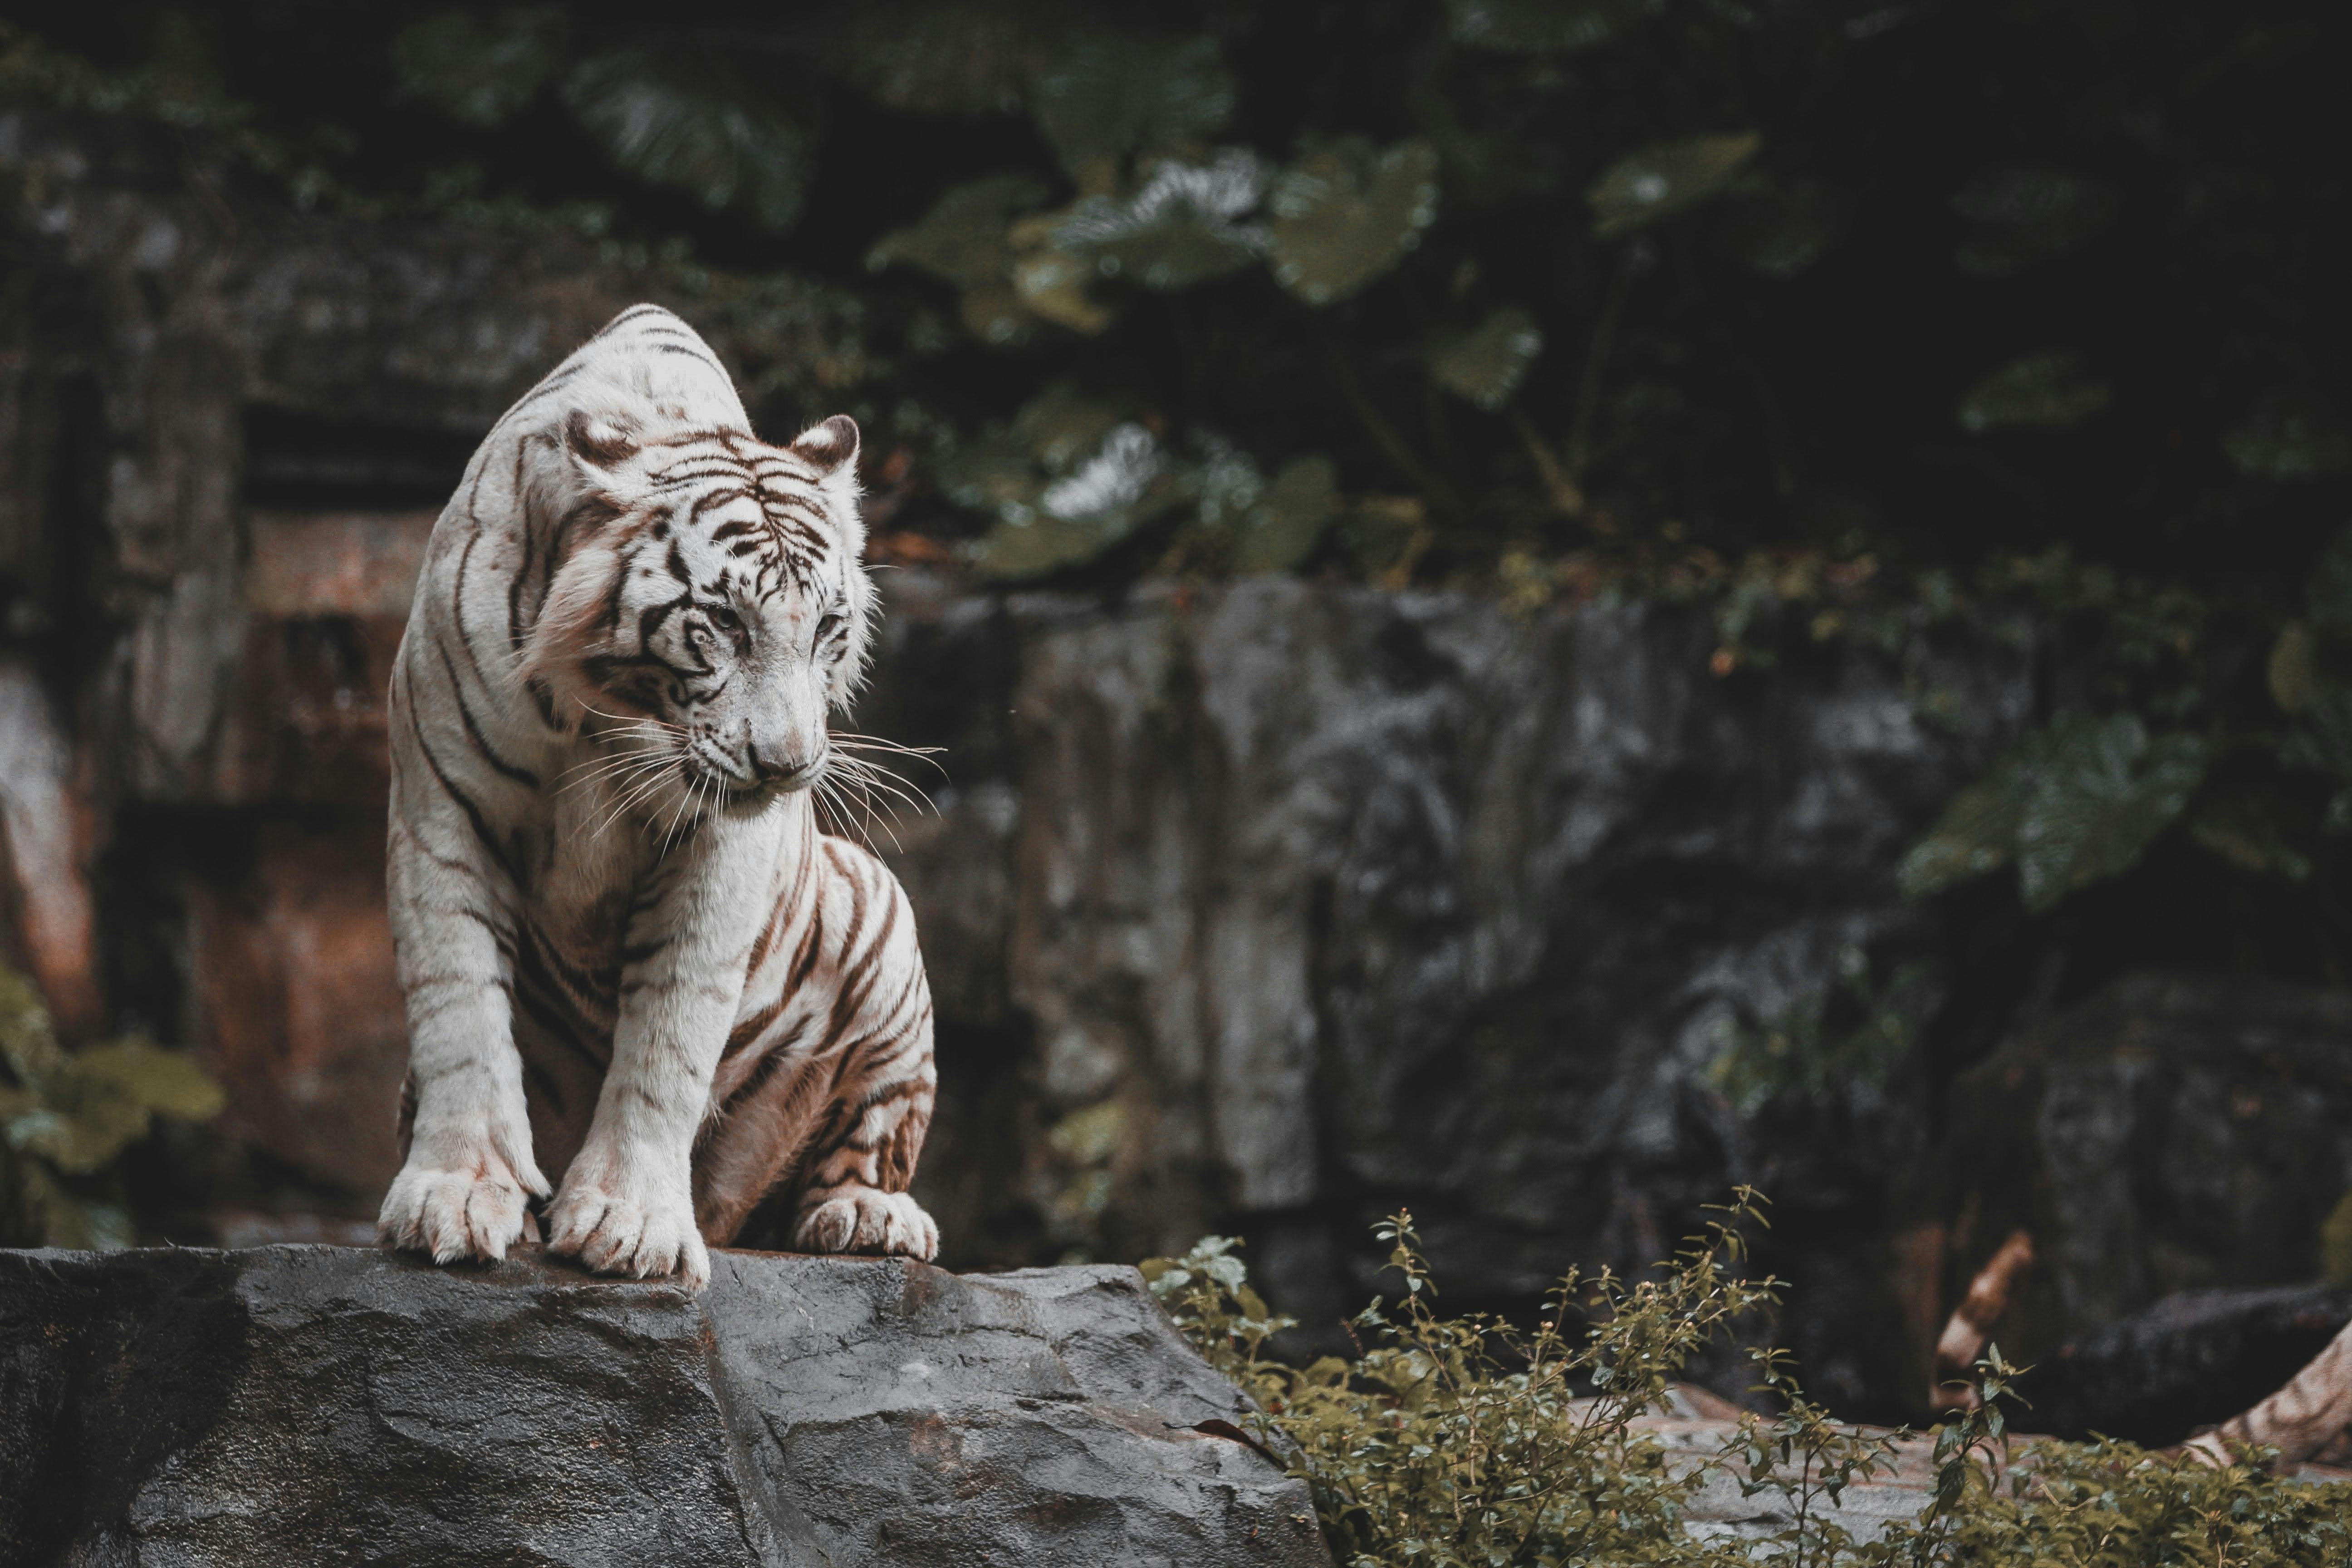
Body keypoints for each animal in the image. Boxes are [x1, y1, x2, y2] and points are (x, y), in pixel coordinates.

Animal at [375, 303, 937, 1289]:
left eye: (827, 629)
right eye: (725, 625)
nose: (789, 766)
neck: (606, 716)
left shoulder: (722, 850)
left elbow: (669, 1032)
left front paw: (631, 1222)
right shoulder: (442, 809)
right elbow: (459, 1012)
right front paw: (456, 1193)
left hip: (880, 915)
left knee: (865, 1145)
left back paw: (867, 1216)